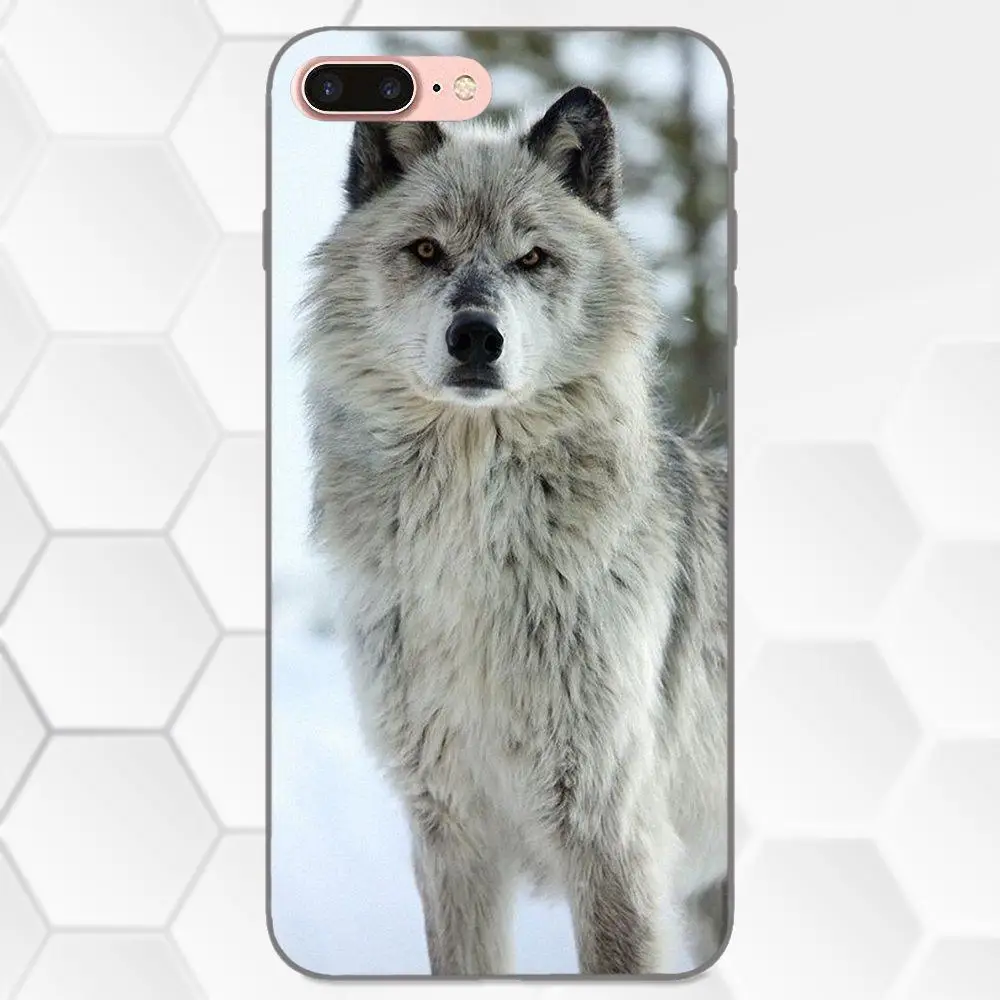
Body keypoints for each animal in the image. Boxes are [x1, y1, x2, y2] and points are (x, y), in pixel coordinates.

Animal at [299, 86, 729, 976]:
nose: (475, 337)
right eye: (427, 250)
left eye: (533, 258)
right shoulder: (449, 835)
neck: (469, 551)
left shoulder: (609, 834)